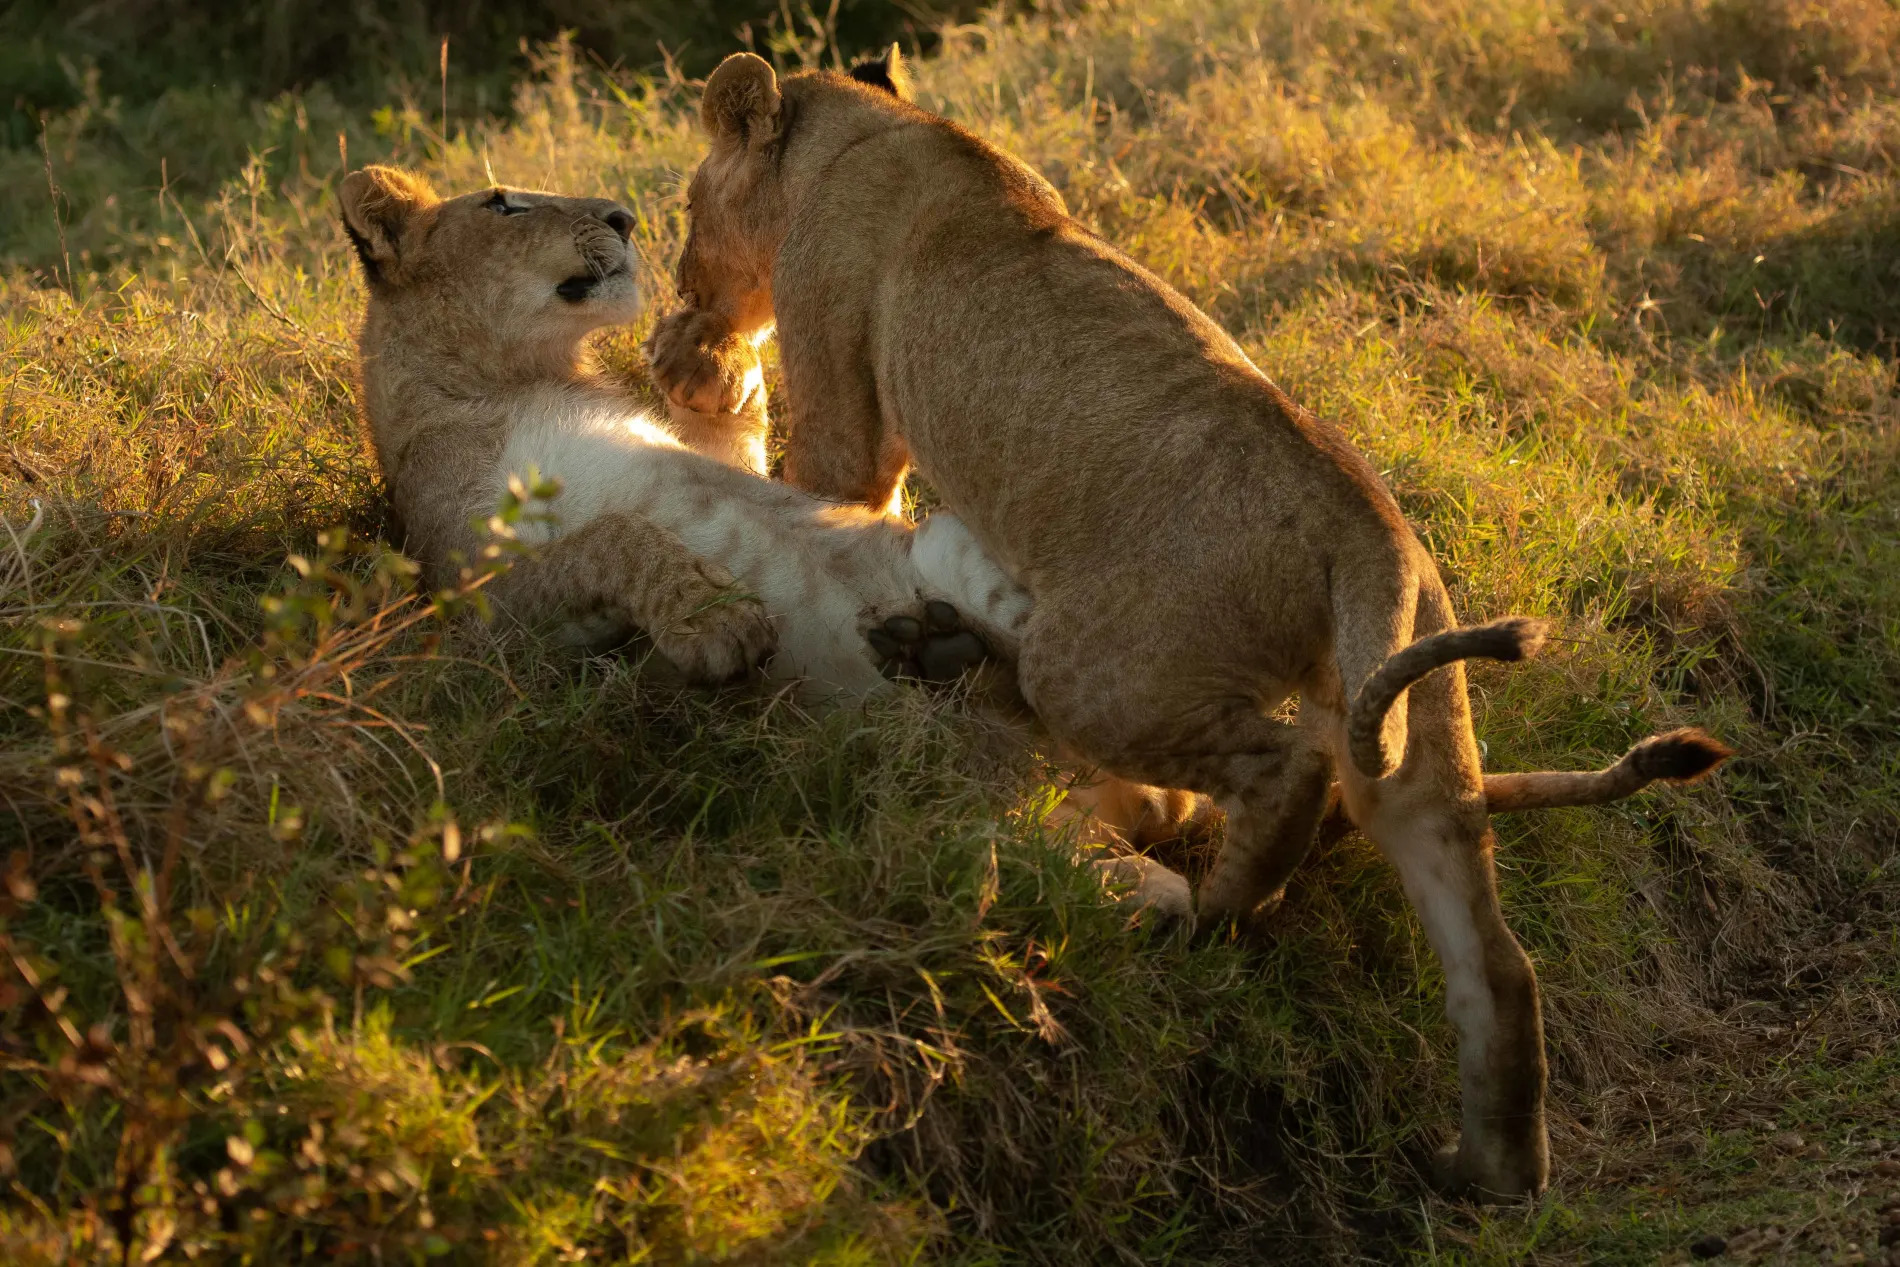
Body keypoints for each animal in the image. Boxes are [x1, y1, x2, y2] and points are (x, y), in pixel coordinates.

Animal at [342, 166, 1026, 702]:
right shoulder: (480, 624)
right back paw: (936, 655)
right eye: (502, 205)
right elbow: (614, 534)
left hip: (949, 544)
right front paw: (717, 619)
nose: (623, 218)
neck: (519, 381)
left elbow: (738, 451)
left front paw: (713, 359)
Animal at [653, 49, 1740, 1200]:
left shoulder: (839, 394)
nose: (677, 285)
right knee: (1493, 959)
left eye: (686, 209)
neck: (861, 131)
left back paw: (1219, 919)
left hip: (1099, 669)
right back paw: (1484, 1173)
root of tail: (1372, 534)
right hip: (1415, 723)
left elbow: (825, 494)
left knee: (1283, 771)